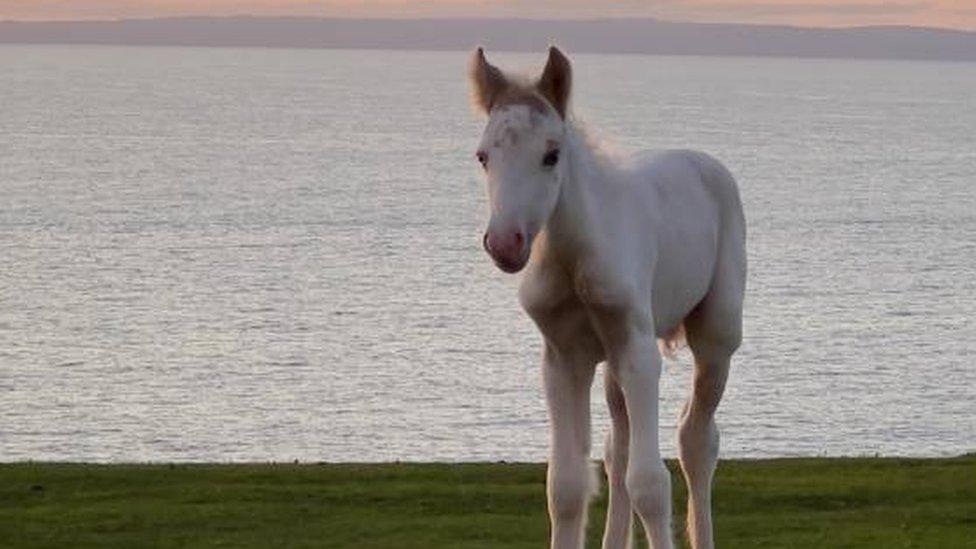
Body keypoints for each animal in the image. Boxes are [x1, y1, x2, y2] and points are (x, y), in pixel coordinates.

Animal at [468, 48, 744, 548]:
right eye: (483, 156)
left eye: (551, 155)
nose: (504, 243)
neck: (575, 258)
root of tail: (705, 162)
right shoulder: (563, 358)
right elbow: (566, 486)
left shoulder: (638, 350)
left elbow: (651, 483)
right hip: (613, 360)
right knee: (619, 447)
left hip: (716, 335)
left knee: (696, 441)